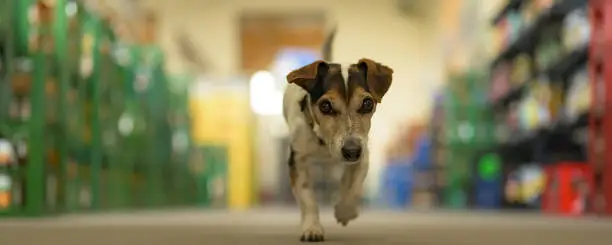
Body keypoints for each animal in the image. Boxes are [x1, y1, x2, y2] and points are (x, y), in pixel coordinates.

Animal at [284, 26, 394, 241]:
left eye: (368, 103)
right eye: (325, 106)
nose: (351, 151)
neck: (324, 144)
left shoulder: (363, 155)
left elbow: (354, 188)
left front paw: (345, 211)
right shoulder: (297, 160)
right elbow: (307, 198)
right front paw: (312, 227)